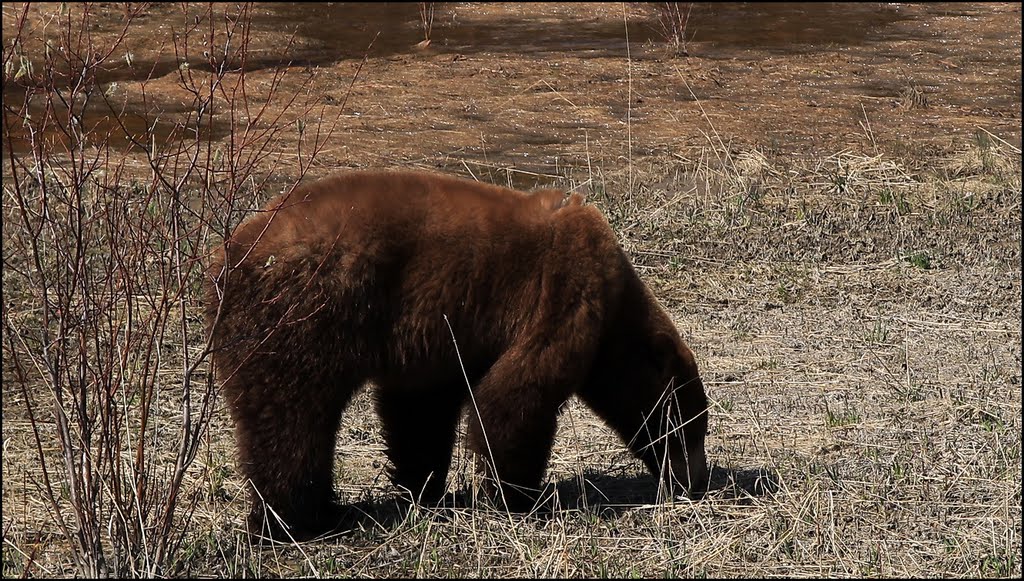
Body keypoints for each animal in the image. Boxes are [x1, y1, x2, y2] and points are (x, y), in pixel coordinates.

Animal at [203, 170, 708, 545]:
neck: (618, 310)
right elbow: (516, 395)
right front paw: (520, 497)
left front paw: (423, 486)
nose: (696, 483)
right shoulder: (563, 294)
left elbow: (420, 409)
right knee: (292, 420)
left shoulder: (435, 337)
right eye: (690, 427)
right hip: (300, 316)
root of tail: (225, 259)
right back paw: (297, 521)